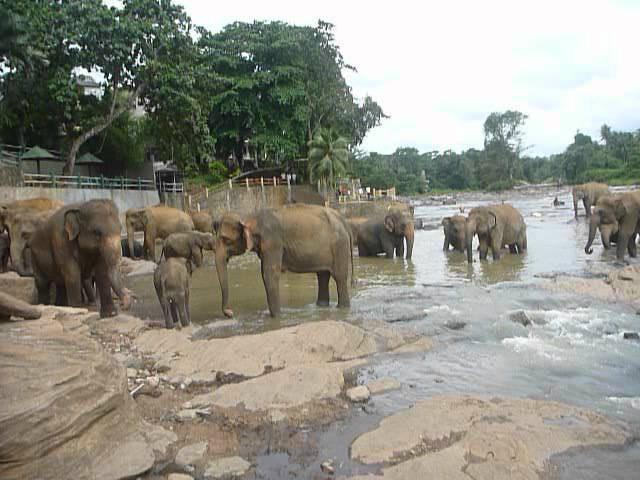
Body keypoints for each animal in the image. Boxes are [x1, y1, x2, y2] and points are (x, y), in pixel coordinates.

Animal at [216, 203, 356, 318]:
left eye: (225, 239)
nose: (230, 313)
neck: (252, 215)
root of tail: (344, 221)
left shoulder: (273, 242)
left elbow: (269, 274)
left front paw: (277, 317)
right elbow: (265, 273)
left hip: (339, 246)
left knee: (339, 277)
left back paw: (342, 308)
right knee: (323, 276)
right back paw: (321, 307)